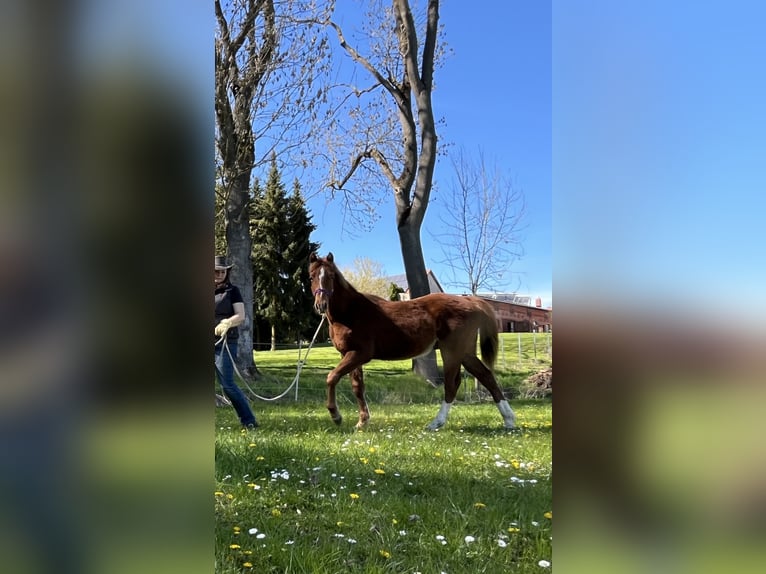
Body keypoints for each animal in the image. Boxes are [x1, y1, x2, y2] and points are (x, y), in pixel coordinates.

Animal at [308, 252, 516, 431]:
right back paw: (509, 420)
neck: (352, 312)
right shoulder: (349, 354)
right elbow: (357, 387)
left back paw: (436, 423)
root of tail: (472, 302)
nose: (321, 305)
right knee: (486, 376)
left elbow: (332, 377)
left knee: (452, 384)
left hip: (452, 352)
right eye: (311, 277)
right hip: (465, 353)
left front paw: (336, 416)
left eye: (331, 276)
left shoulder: (360, 354)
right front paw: (362, 422)